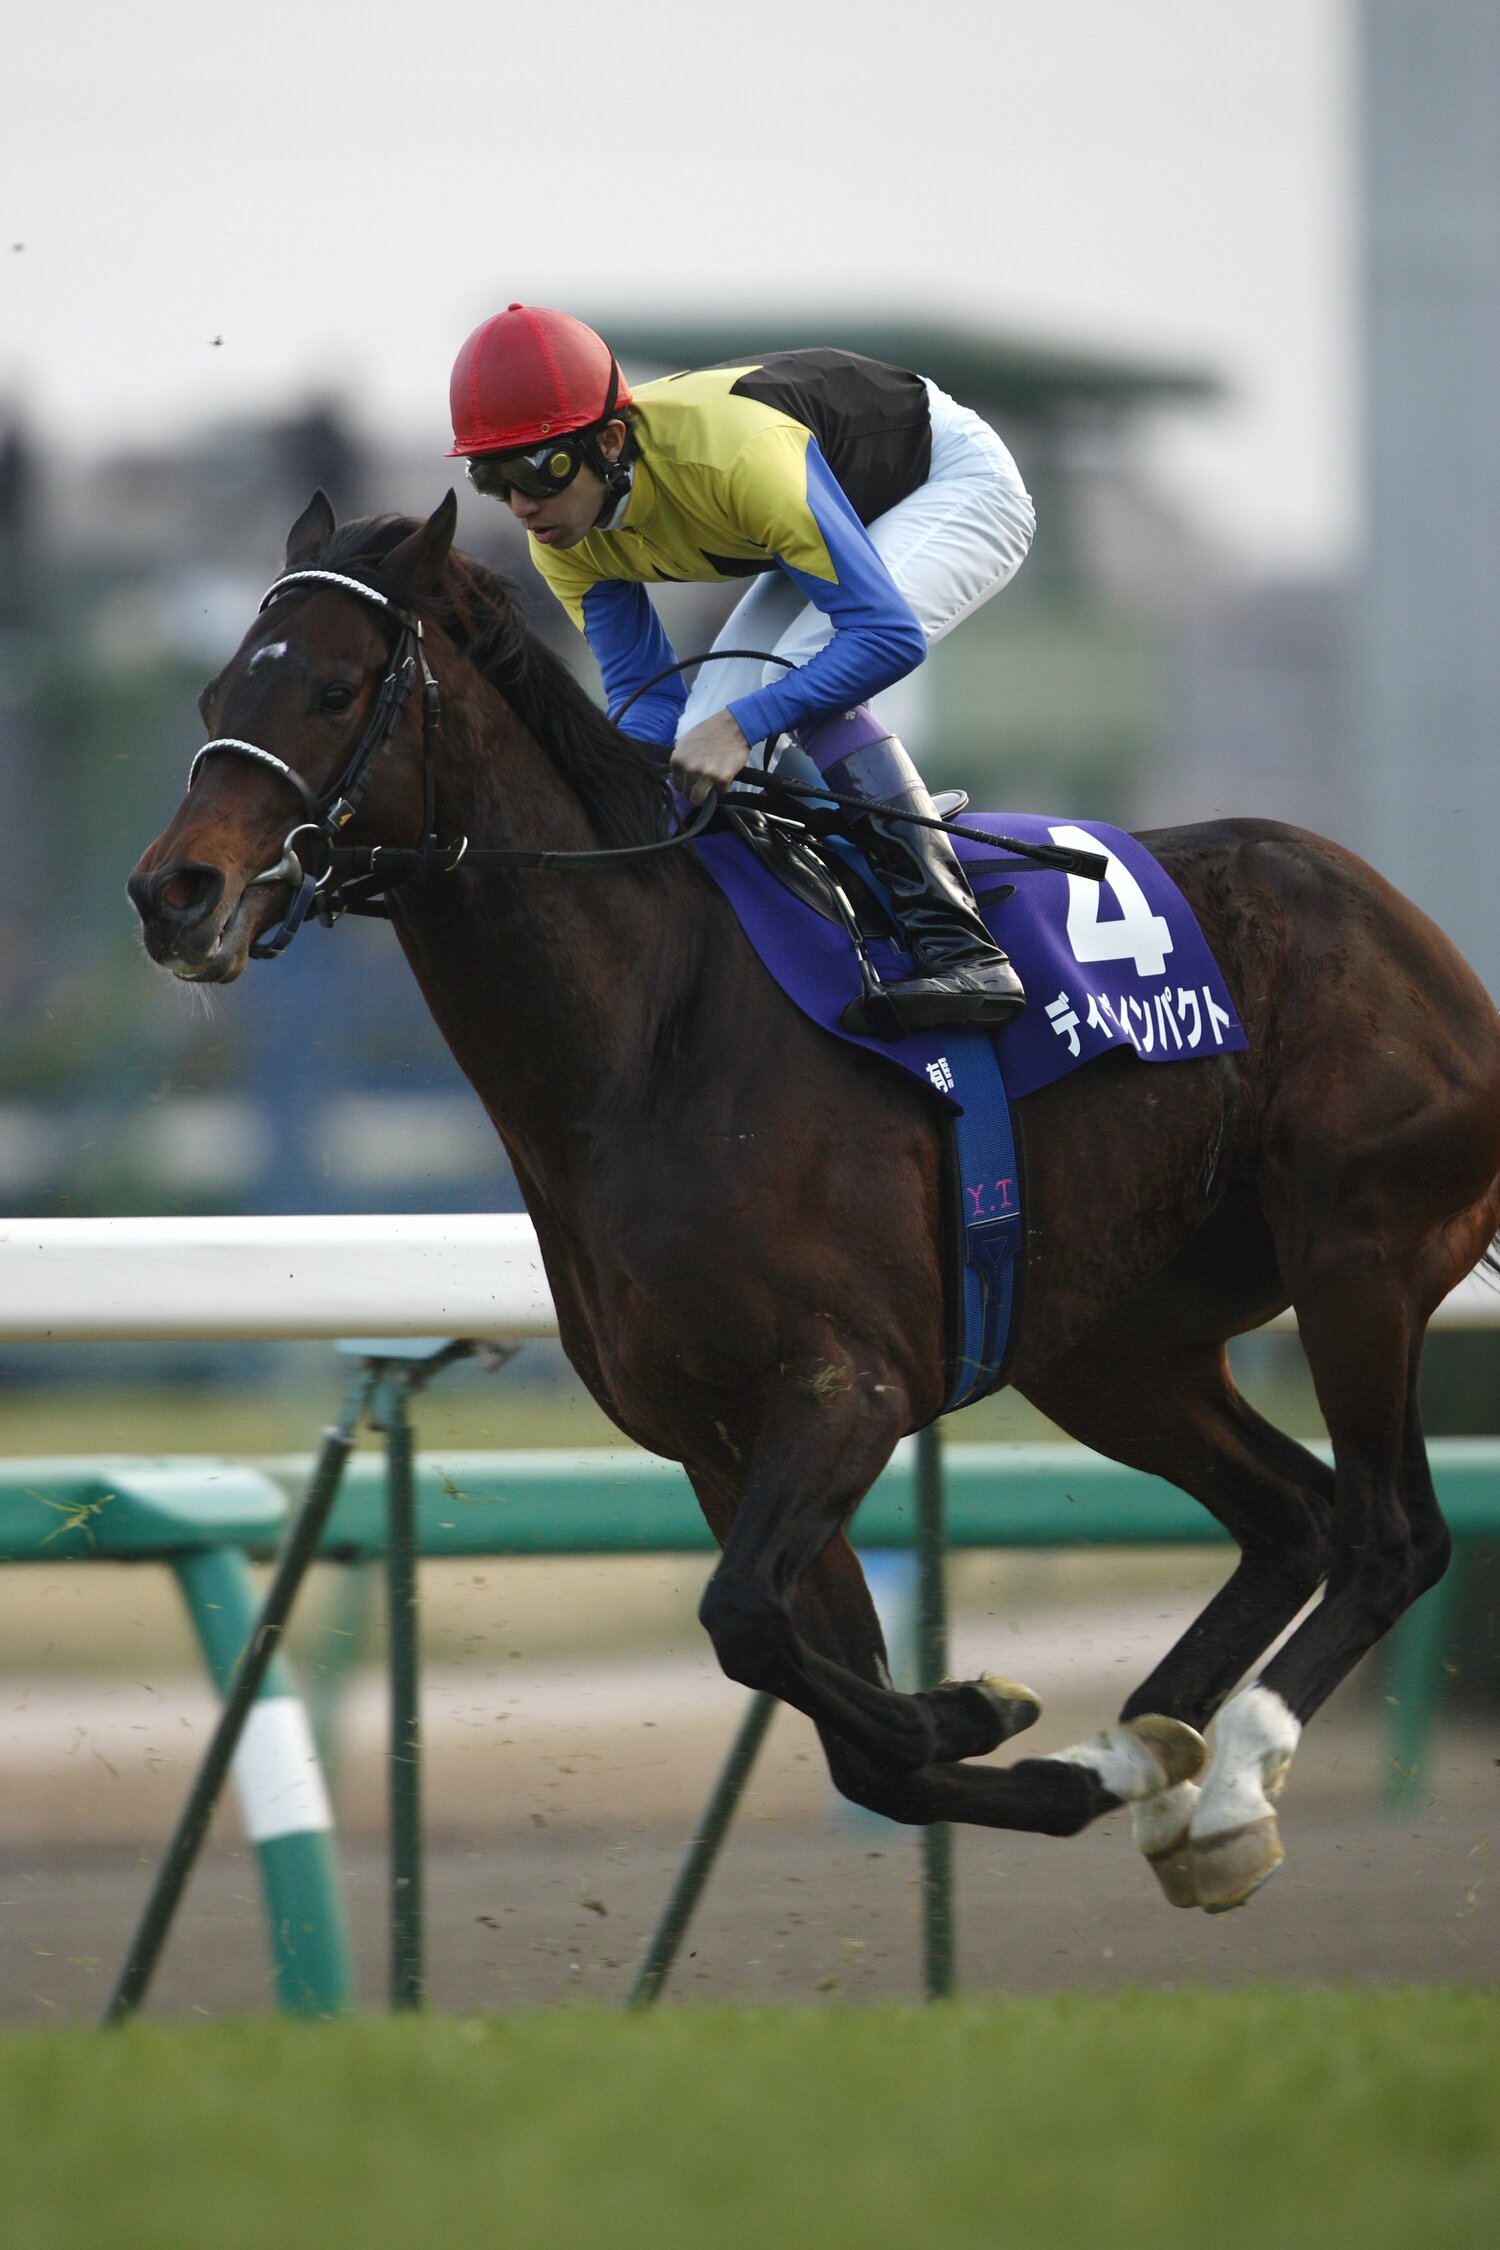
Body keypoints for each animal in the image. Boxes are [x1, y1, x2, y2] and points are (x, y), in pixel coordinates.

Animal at [128, 491, 1500, 1914]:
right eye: (216, 692)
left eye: (334, 689)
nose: (174, 893)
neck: (649, 1037)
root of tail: (1409, 929)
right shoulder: (718, 1438)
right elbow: (833, 1716)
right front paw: (1010, 1739)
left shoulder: (850, 1386)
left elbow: (746, 1623)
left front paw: (977, 1707)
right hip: (1114, 1347)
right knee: (1291, 1520)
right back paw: (1139, 1756)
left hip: (1358, 1254)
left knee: (1391, 1534)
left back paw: (1229, 1788)